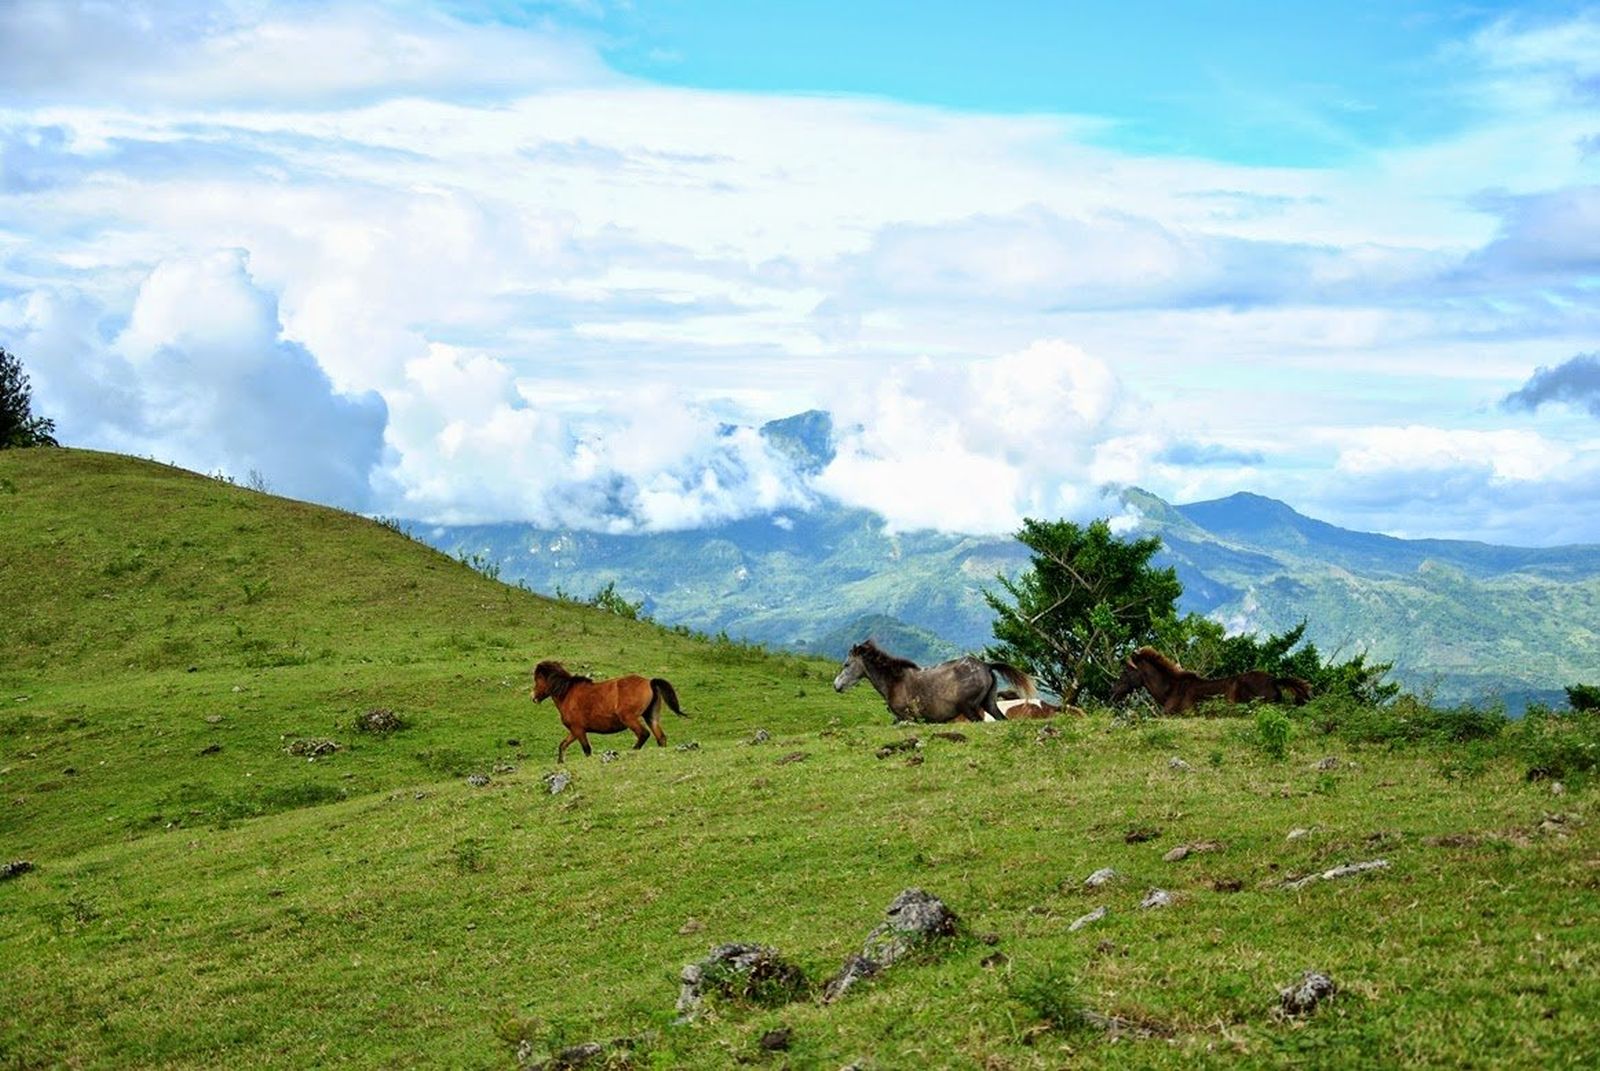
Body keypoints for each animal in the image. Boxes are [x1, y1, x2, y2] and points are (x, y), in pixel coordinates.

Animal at [537, 659, 688, 758]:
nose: (534, 697)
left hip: (629, 718)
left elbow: (587, 750)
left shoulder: (578, 730)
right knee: (661, 738)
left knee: (643, 734)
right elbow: (563, 745)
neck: (567, 693)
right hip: (651, 717)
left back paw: (633, 750)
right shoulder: (575, 731)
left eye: (537, 680)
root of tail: (649, 682)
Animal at [832, 640, 1043, 723]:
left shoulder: (906, 717)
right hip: (989, 703)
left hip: (969, 707)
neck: (895, 681)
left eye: (846, 664)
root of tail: (986, 665)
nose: (836, 685)